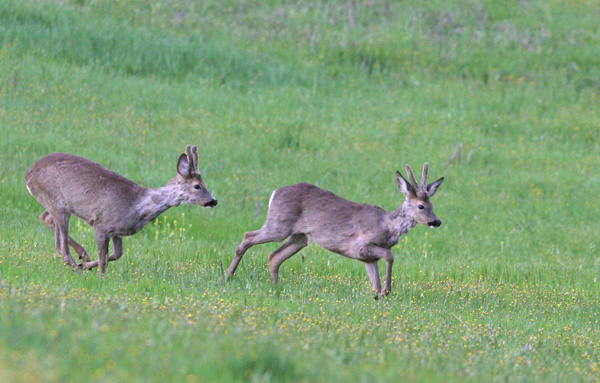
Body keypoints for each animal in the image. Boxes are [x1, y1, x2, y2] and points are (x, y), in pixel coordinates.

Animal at [26, 146, 218, 274]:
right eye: (197, 186)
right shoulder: (102, 225)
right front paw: (100, 278)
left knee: (47, 219)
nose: (213, 201)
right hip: (57, 201)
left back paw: (82, 258)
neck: (139, 206)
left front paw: (87, 265)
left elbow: (116, 254)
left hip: (56, 204)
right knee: (61, 246)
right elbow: (103, 257)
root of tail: (28, 175)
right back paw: (78, 266)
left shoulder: (117, 231)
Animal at [227, 164, 442, 296]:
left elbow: (375, 282)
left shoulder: (368, 258)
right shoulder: (360, 246)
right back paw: (228, 277)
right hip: (278, 225)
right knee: (248, 237)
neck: (387, 226)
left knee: (274, 257)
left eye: (432, 204)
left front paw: (378, 296)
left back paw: (275, 287)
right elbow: (390, 256)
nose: (436, 221)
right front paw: (387, 291)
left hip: (300, 237)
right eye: (421, 206)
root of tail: (274, 193)